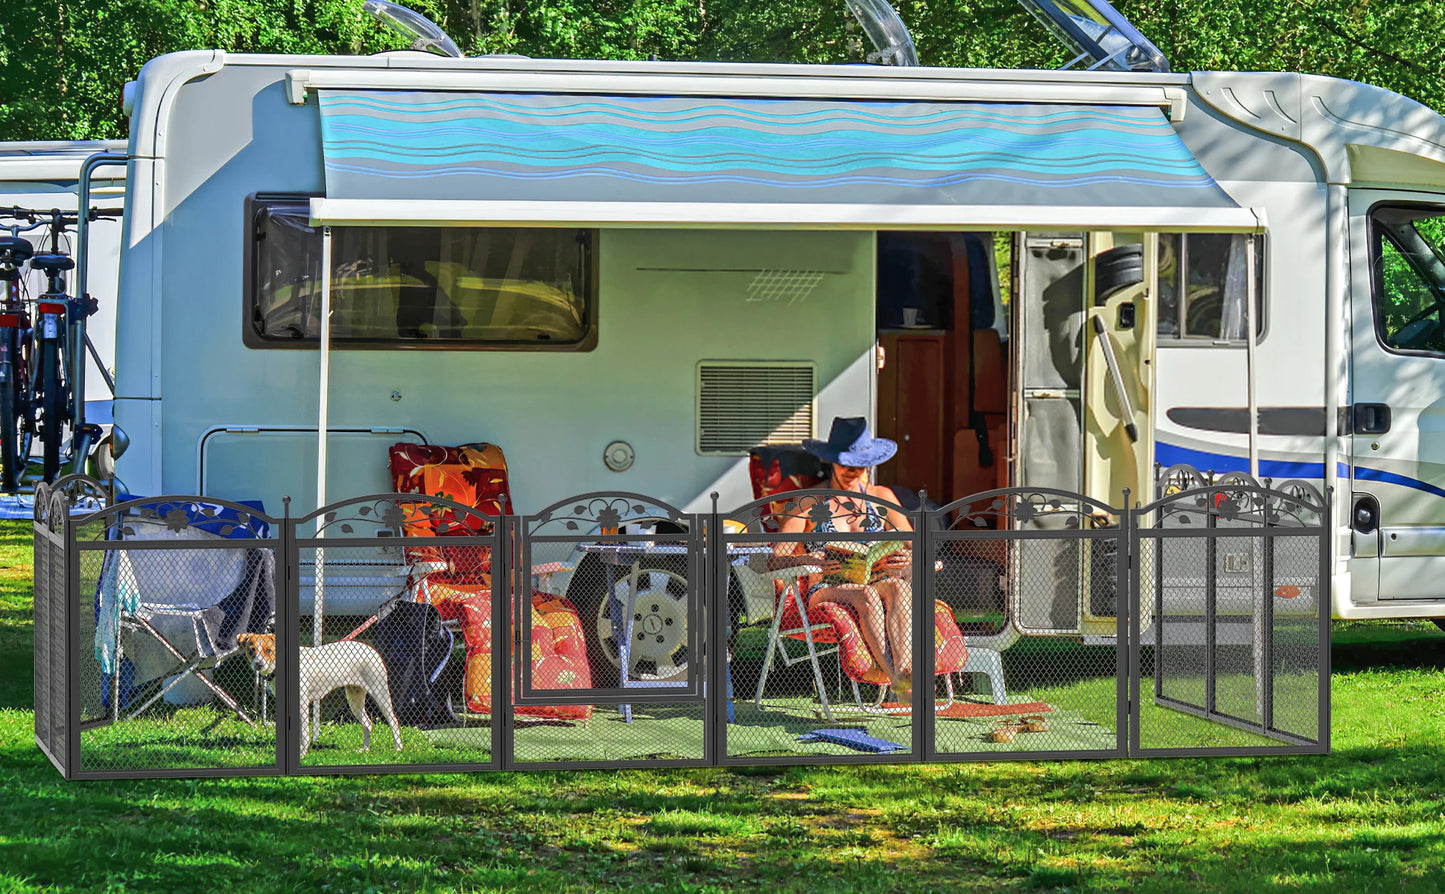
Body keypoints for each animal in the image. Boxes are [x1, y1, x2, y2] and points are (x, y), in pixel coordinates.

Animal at [236, 632, 404, 756]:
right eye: (251, 650)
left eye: (268, 650)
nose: (258, 664)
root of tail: (371, 649)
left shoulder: (302, 705)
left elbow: (304, 734)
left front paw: (302, 754)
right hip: (354, 698)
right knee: (367, 724)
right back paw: (365, 749)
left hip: (380, 693)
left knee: (393, 721)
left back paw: (398, 748)